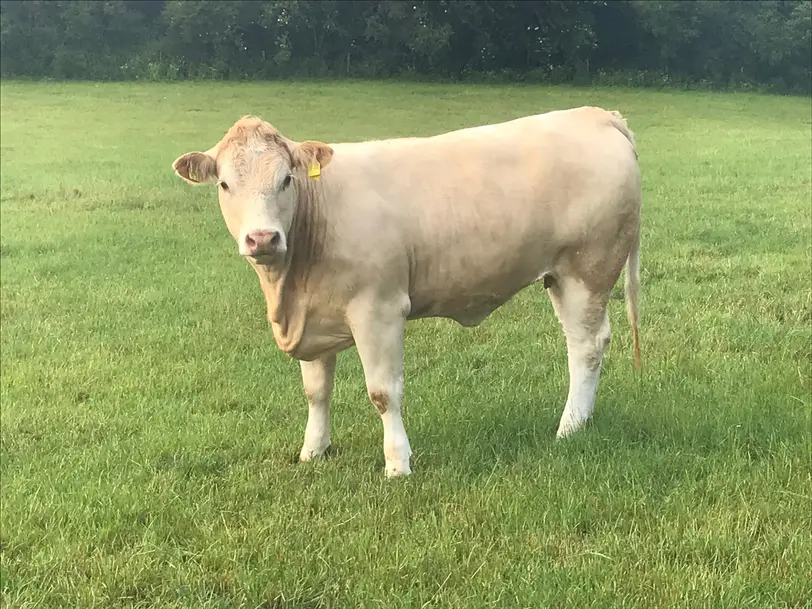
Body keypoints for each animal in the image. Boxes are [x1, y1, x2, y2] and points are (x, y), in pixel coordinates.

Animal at [171, 107, 640, 478]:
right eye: (224, 185)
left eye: (286, 179)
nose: (263, 238)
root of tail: (596, 114)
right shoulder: (312, 314)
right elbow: (316, 391)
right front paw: (313, 450)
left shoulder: (378, 309)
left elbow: (383, 392)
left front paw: (398, 463)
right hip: (562, 275)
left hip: (588, 268)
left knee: (586, 346)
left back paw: (569, 428)